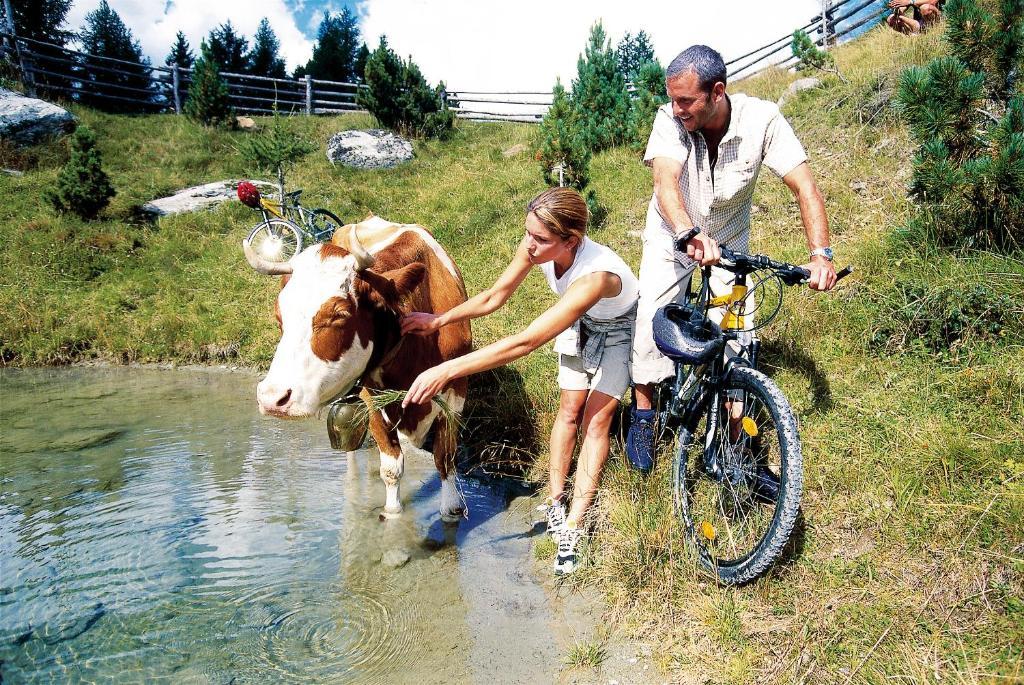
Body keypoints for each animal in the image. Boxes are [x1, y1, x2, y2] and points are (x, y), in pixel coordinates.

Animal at [241, 216, 473, 520]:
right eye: (279, 317)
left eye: (339, 315)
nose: (271, 398)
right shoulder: (370, 399)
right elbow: (391, 467)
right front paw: (392, 514)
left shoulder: (456, 394)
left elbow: (444, 458)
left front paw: (452, 508)